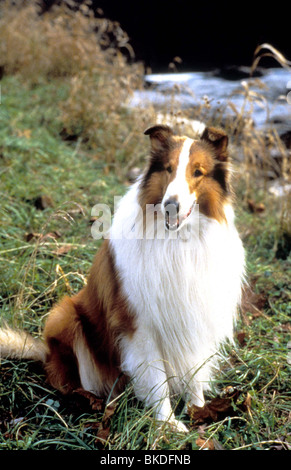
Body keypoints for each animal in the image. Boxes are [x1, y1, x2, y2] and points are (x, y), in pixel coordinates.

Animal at [0, 124, 246, 430]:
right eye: (168, 168)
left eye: (198, 172)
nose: (170, 206)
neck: (177, 242)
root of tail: (45, 353)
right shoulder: (140, 326)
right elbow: (157, 379)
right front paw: (168, 425)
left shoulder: (194, 317)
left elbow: (194, 372)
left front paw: (199, 410)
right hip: (65, 315)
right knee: (70, 382)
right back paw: (90, 400)